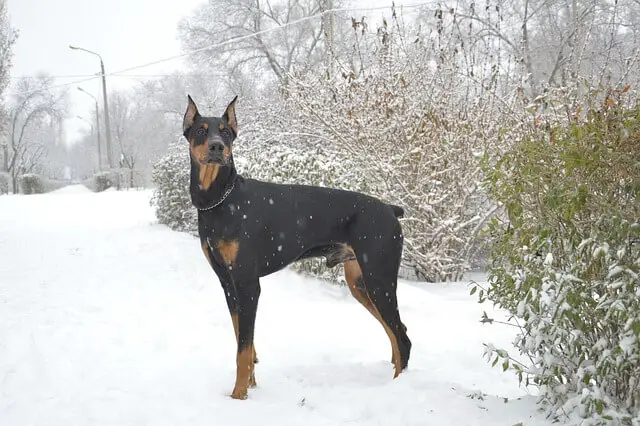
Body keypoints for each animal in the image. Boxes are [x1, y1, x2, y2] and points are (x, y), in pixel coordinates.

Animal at [184, 94, 416, 400]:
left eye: (225, 132)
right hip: (361, 283)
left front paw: (238, 396)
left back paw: (397, 390)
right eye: (201, 131)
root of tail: (390, 209)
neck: (221, 201)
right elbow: (242, 338)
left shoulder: (247, 284)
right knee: (396, 331)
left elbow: (243, 349)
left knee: (403, 338)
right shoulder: (228, 283)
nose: (216, 147)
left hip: (380, 280)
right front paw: (251, 383)